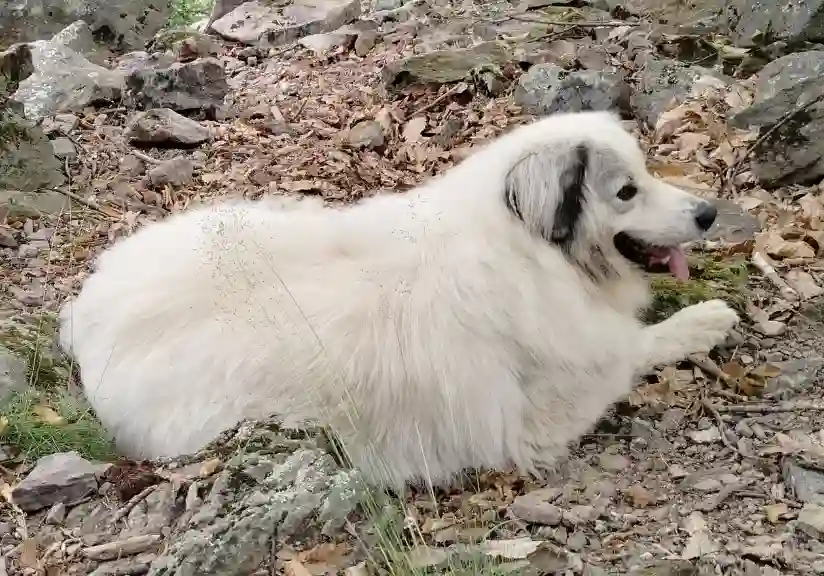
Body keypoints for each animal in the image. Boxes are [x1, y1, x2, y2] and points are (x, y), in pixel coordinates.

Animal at [59, 110, 740, 488]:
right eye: (626, 191)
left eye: (646, 174)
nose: (709, 213)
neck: (528, 249)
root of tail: (84, 318)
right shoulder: (540, 419)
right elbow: (631, 350)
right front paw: (703, 321)